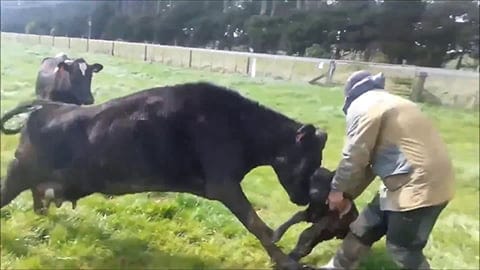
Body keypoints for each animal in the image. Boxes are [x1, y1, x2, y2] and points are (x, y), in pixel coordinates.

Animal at [0, 82, 328, 270]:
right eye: (310, 160)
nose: (306, 198)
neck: (241, 126)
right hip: (19, 172)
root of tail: (47, 106)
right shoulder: (223, 183)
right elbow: (256, 224)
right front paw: (285, 261)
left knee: (39, 196)